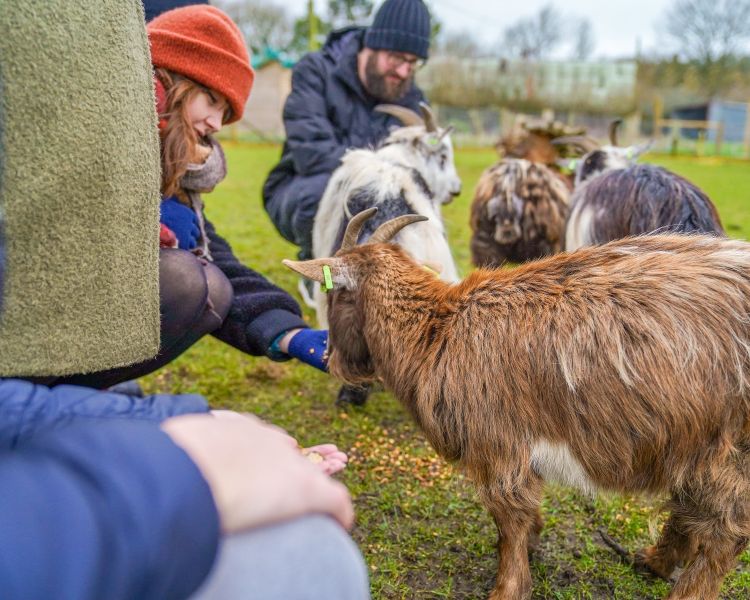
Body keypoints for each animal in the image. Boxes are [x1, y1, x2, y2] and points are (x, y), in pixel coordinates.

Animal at [285, 208, 750, 600]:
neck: (436, 331)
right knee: (692, 508)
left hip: (727, 450)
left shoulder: (498, 445)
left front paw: (507, 587)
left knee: (726, 530)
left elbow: (509, 517)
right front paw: (535, 545)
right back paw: (654, 561)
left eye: (336, 296)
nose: (334, 361)